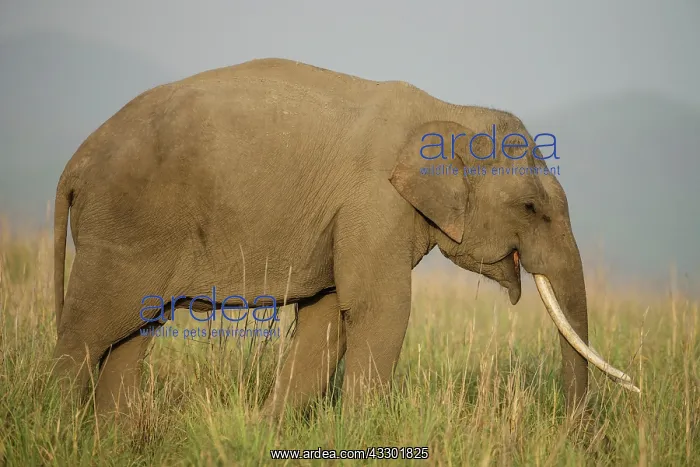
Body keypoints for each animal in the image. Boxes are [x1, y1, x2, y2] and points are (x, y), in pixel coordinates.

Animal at [52, 58, 638, 421]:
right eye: (531, 208)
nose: (576, 430)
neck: (449, 110)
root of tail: (75, 162)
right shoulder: (373, 202)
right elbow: (381, 309)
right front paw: (360, 429)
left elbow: (327, 320)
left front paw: (267, 431)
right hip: (125, 226)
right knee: (89, 331)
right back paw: (60, 424)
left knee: (133, 333)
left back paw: (111, 436)